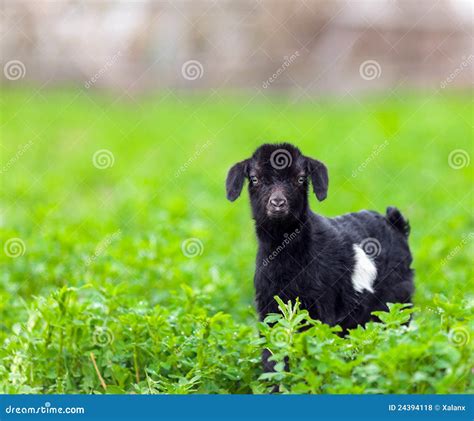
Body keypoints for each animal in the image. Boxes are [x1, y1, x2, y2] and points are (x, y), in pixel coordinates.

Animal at [226, 143, 414, 370]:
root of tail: (395, 224)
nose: (278, 203)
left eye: (300, 179)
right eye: (254, 178)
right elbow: (272, 350)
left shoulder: (321, 306)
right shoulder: (268, 305)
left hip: (397, 300)